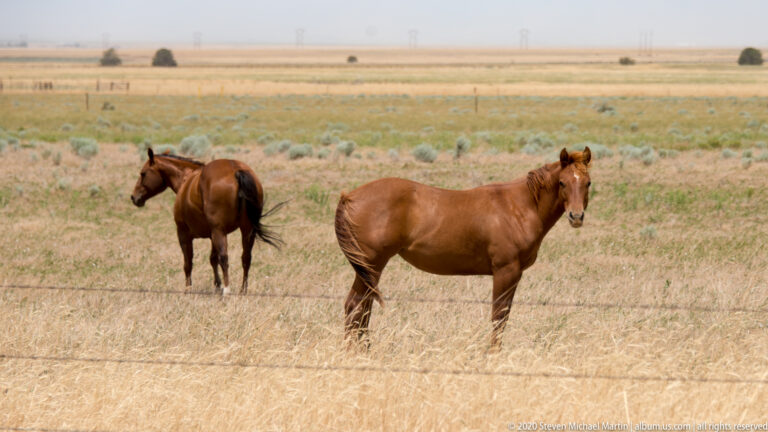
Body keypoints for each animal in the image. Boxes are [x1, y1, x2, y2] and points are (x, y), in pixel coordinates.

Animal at [131, 148, 283, 295]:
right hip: (246, 230)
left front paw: (188, 290)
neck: (186, 179)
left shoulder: (184, 234)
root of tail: (236, 170)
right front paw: (217, 286)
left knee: (224, 258)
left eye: (143, 173)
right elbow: (212, 259)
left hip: (220, 232)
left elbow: (188, 263)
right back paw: (242, 291)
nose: (133, 197)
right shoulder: (212, 235)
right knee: (246, 258)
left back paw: (227, 290)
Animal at [335, 147, 592, 350]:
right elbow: (499, 316)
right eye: (562, 183)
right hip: (372, 265)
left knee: (361, 309)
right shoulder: (506, 271)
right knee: (355, 306)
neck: (519, 207)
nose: (576, 216)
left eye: (587, 183)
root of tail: (350, 196)